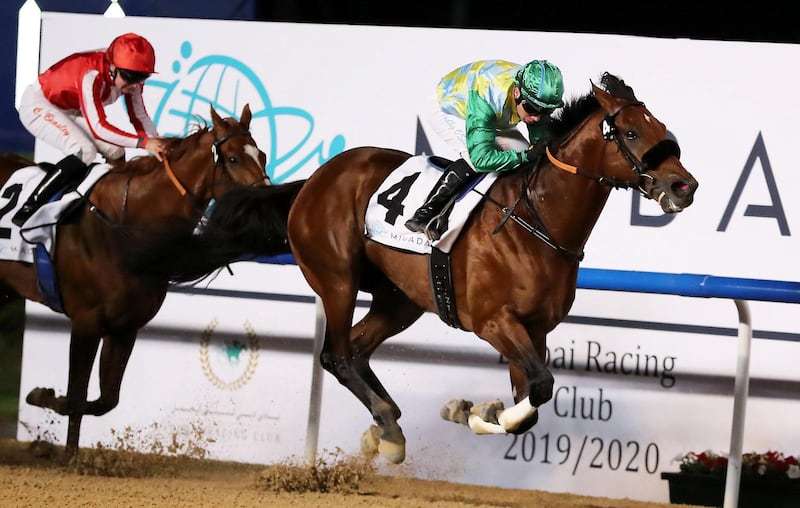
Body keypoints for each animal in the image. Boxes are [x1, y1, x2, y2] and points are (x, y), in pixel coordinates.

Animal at [0, 104, 270, 460]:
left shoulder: (125, 327)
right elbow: (77, 395)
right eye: (234, 159)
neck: (127, 225)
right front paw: (66, 451)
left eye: (262, 155)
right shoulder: (86, 322)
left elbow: (106, 400)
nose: (267, 210)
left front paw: (45, 400)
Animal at [153, 71, 696, 464]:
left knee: (359, 350)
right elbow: (540, 387)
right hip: (337, 278)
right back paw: (388, 427)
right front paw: (472, 411)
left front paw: (475, 410)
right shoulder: (494, 322)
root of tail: (314, 180)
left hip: (401, 299)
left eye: (662, 129)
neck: (536, 223)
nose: (684, 186)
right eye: (631, 132)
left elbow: (533, 404)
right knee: (336, 354)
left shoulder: (536, 331)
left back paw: (387, 424)